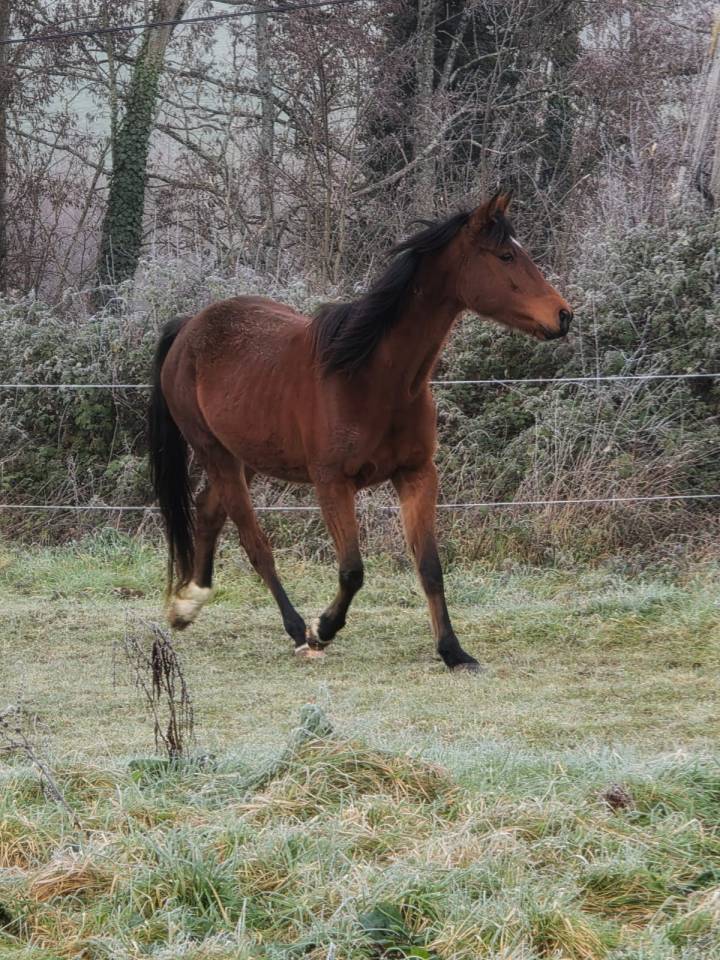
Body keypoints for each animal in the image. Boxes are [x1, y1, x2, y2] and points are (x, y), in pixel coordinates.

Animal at [148, 193, 572, 672]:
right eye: (505, 256)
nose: (563, 316)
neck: (371, 375)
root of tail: (189, 327)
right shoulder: (332, 483)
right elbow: (352, 570)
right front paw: (324, 628)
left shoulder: (416, 475)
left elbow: (430, 566)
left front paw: (453, 651)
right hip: (214, 452)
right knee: (254, 542)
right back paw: (296, 629)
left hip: (244, 457)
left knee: (207, 512)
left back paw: (187, 605)